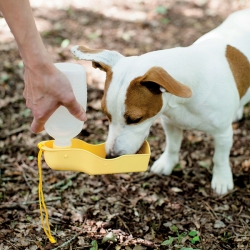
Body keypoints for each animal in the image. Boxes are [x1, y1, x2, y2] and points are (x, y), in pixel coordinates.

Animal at [70, 8, 250, 195]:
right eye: (106, 114)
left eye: (136, 119)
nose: (111, 156)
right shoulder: (171, 124)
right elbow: (172, 146)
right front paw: (167, 163)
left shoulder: (223, 134)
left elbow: (219, 158)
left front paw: (222, 179)